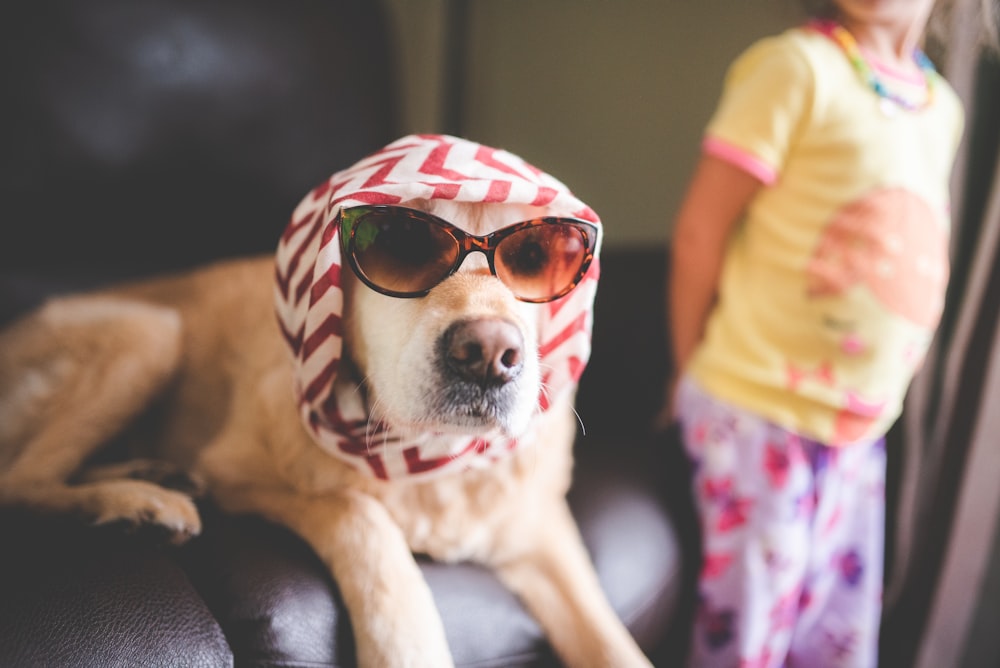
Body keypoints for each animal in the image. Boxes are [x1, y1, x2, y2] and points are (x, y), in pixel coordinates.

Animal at [0, 136, 652, 668]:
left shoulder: (543, 533)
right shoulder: (239, 473)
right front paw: (407, 643)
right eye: (401, 244)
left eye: (537, 258)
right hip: (152, 333)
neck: (428, 461)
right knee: (21, 482)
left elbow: (611, 640)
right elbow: (360, 516)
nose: (488, 354)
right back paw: (138, 502)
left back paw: (150, 476)